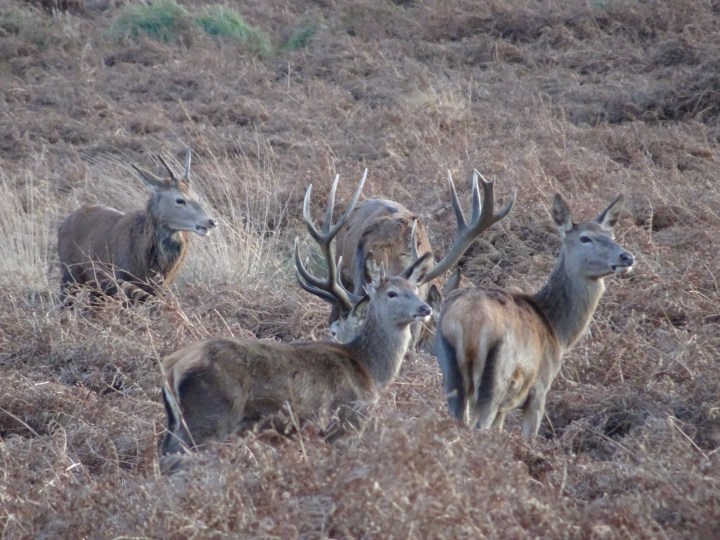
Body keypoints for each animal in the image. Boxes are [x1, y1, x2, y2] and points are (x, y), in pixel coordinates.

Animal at [57, 149, 217, 306]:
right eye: (179, 200)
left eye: (196, 196)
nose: (211, 221)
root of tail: (63, 224)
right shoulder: (121, 281)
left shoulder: (161, 289)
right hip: (69, 274)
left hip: (96, 286)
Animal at [435, 191, 635, 440]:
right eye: (585, 238)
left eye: (611, 235)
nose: (627, 257)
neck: (557, 332)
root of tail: (470, 322)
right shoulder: (539, 390)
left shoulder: (504, 407)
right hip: (495, 379)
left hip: (450, 372)